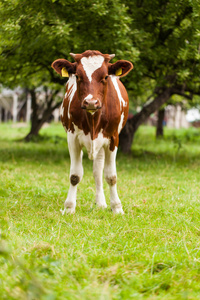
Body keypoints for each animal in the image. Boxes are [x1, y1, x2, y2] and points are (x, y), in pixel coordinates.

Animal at [51, 50, 133, 214]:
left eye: (106, 76)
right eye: (77, 76)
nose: (91, 102)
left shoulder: (113, 139)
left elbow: (111, 176)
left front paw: (117, 207)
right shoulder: (72, 138)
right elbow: (75, 175)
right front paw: (69, 207)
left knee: (98, 171)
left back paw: (101, 202)